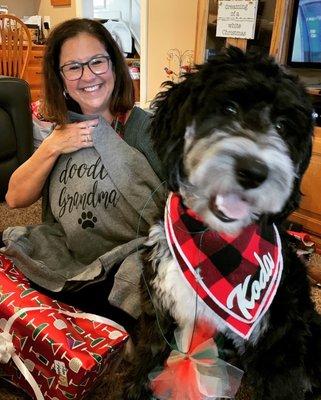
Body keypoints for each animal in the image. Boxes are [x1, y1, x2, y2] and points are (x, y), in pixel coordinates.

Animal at [112, 46, 320, 396]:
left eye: (282, 126)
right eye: (228, 107)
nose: (254, 172)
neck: (210, 239)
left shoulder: (279, 345)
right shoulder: (158, 304)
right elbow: (148, 349)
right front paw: (133, 386)